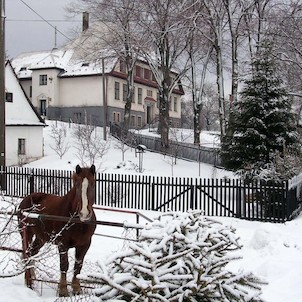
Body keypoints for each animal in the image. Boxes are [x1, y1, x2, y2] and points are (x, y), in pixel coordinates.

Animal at [18, 164, 95, 296]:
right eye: (77, 185)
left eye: (93, 184)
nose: (84, 213)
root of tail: (27, 198)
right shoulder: (63, 244)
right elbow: (64, 265)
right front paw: (63, 290)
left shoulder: (85, 244)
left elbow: (78, 266)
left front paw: (77, 289)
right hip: (26, 234)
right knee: (27, 254)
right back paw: (29, 281)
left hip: (41, 238)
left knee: (33, 253)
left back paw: (33, 277)